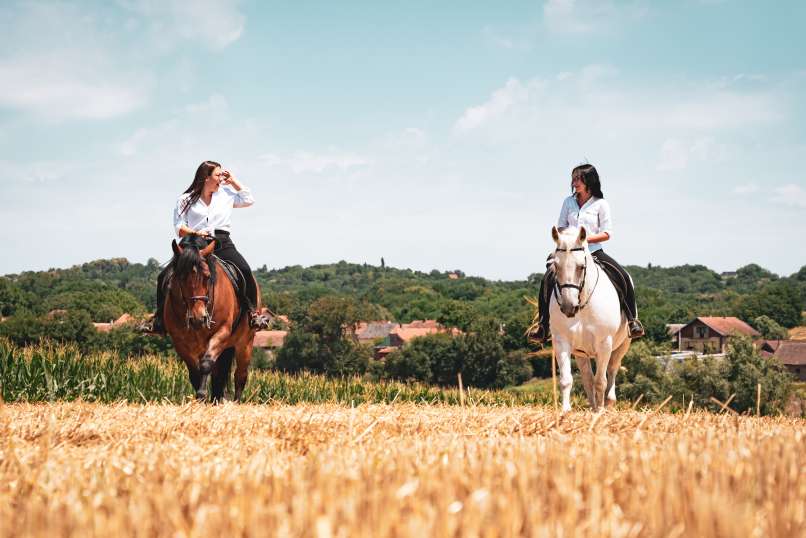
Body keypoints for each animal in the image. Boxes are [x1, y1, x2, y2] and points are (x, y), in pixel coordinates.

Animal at [167, 236, 258, 402]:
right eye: (181, 278)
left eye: (207, 277)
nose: (198, 318)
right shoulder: (180, 342)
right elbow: (195, 373)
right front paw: (202, 398)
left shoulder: (221, 332)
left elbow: (206, 364)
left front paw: (202, 394)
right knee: (219, 375)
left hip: (245, 343)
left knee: (240, 375)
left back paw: (236, 402)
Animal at [552, 223, 636, 410]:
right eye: (555, 266)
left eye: (581, 267)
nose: (568, 307)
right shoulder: (562, 342)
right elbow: (567, 380)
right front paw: (565, 411)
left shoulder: (604, 343)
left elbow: (601, 381)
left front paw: (600, 411)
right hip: (581, 352)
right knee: (587, 378)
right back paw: (593, 405)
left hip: (621, 345)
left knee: (611, 370)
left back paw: (608, 403)